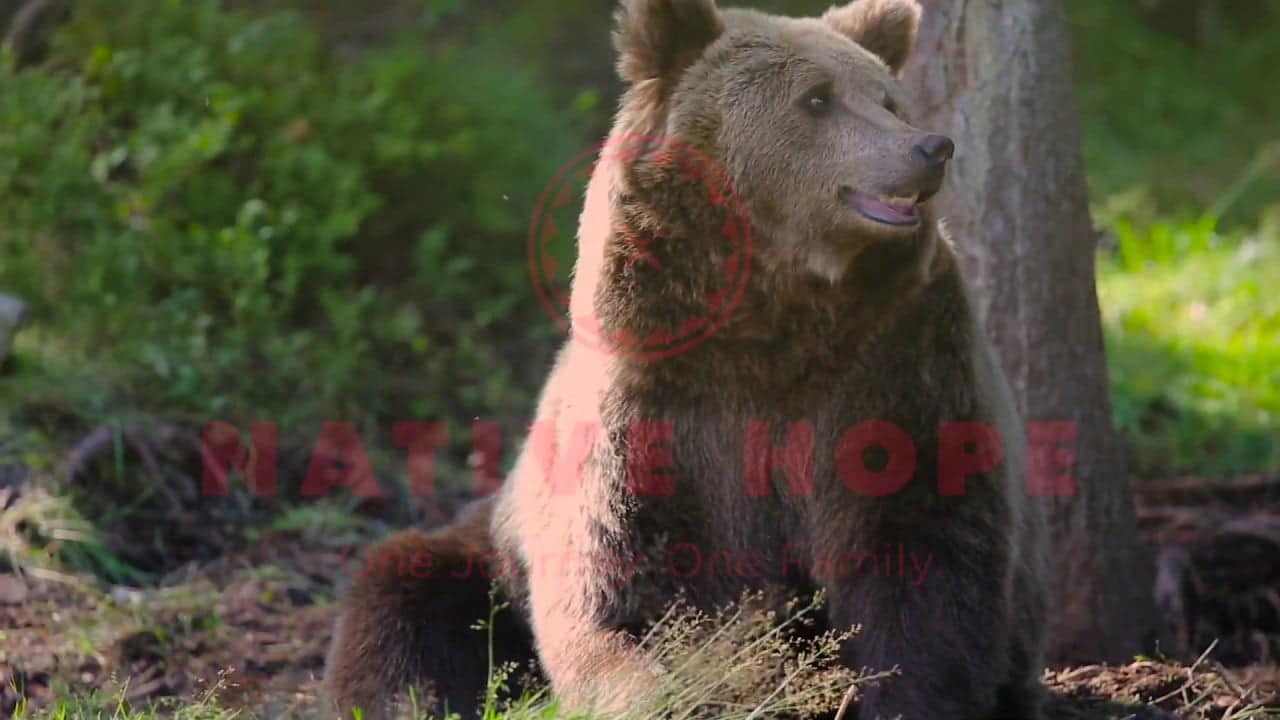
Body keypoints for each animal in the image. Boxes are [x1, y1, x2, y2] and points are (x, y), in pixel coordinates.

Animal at [324, 0, 1049, 718]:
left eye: (889, 99)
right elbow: (627, 588)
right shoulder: (655, 400)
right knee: (404, 597)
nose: (929, 147)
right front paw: (674, 687)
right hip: (492, 548)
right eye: (818, 98)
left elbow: (922, 551)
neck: (776, 315)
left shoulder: (899, 364)